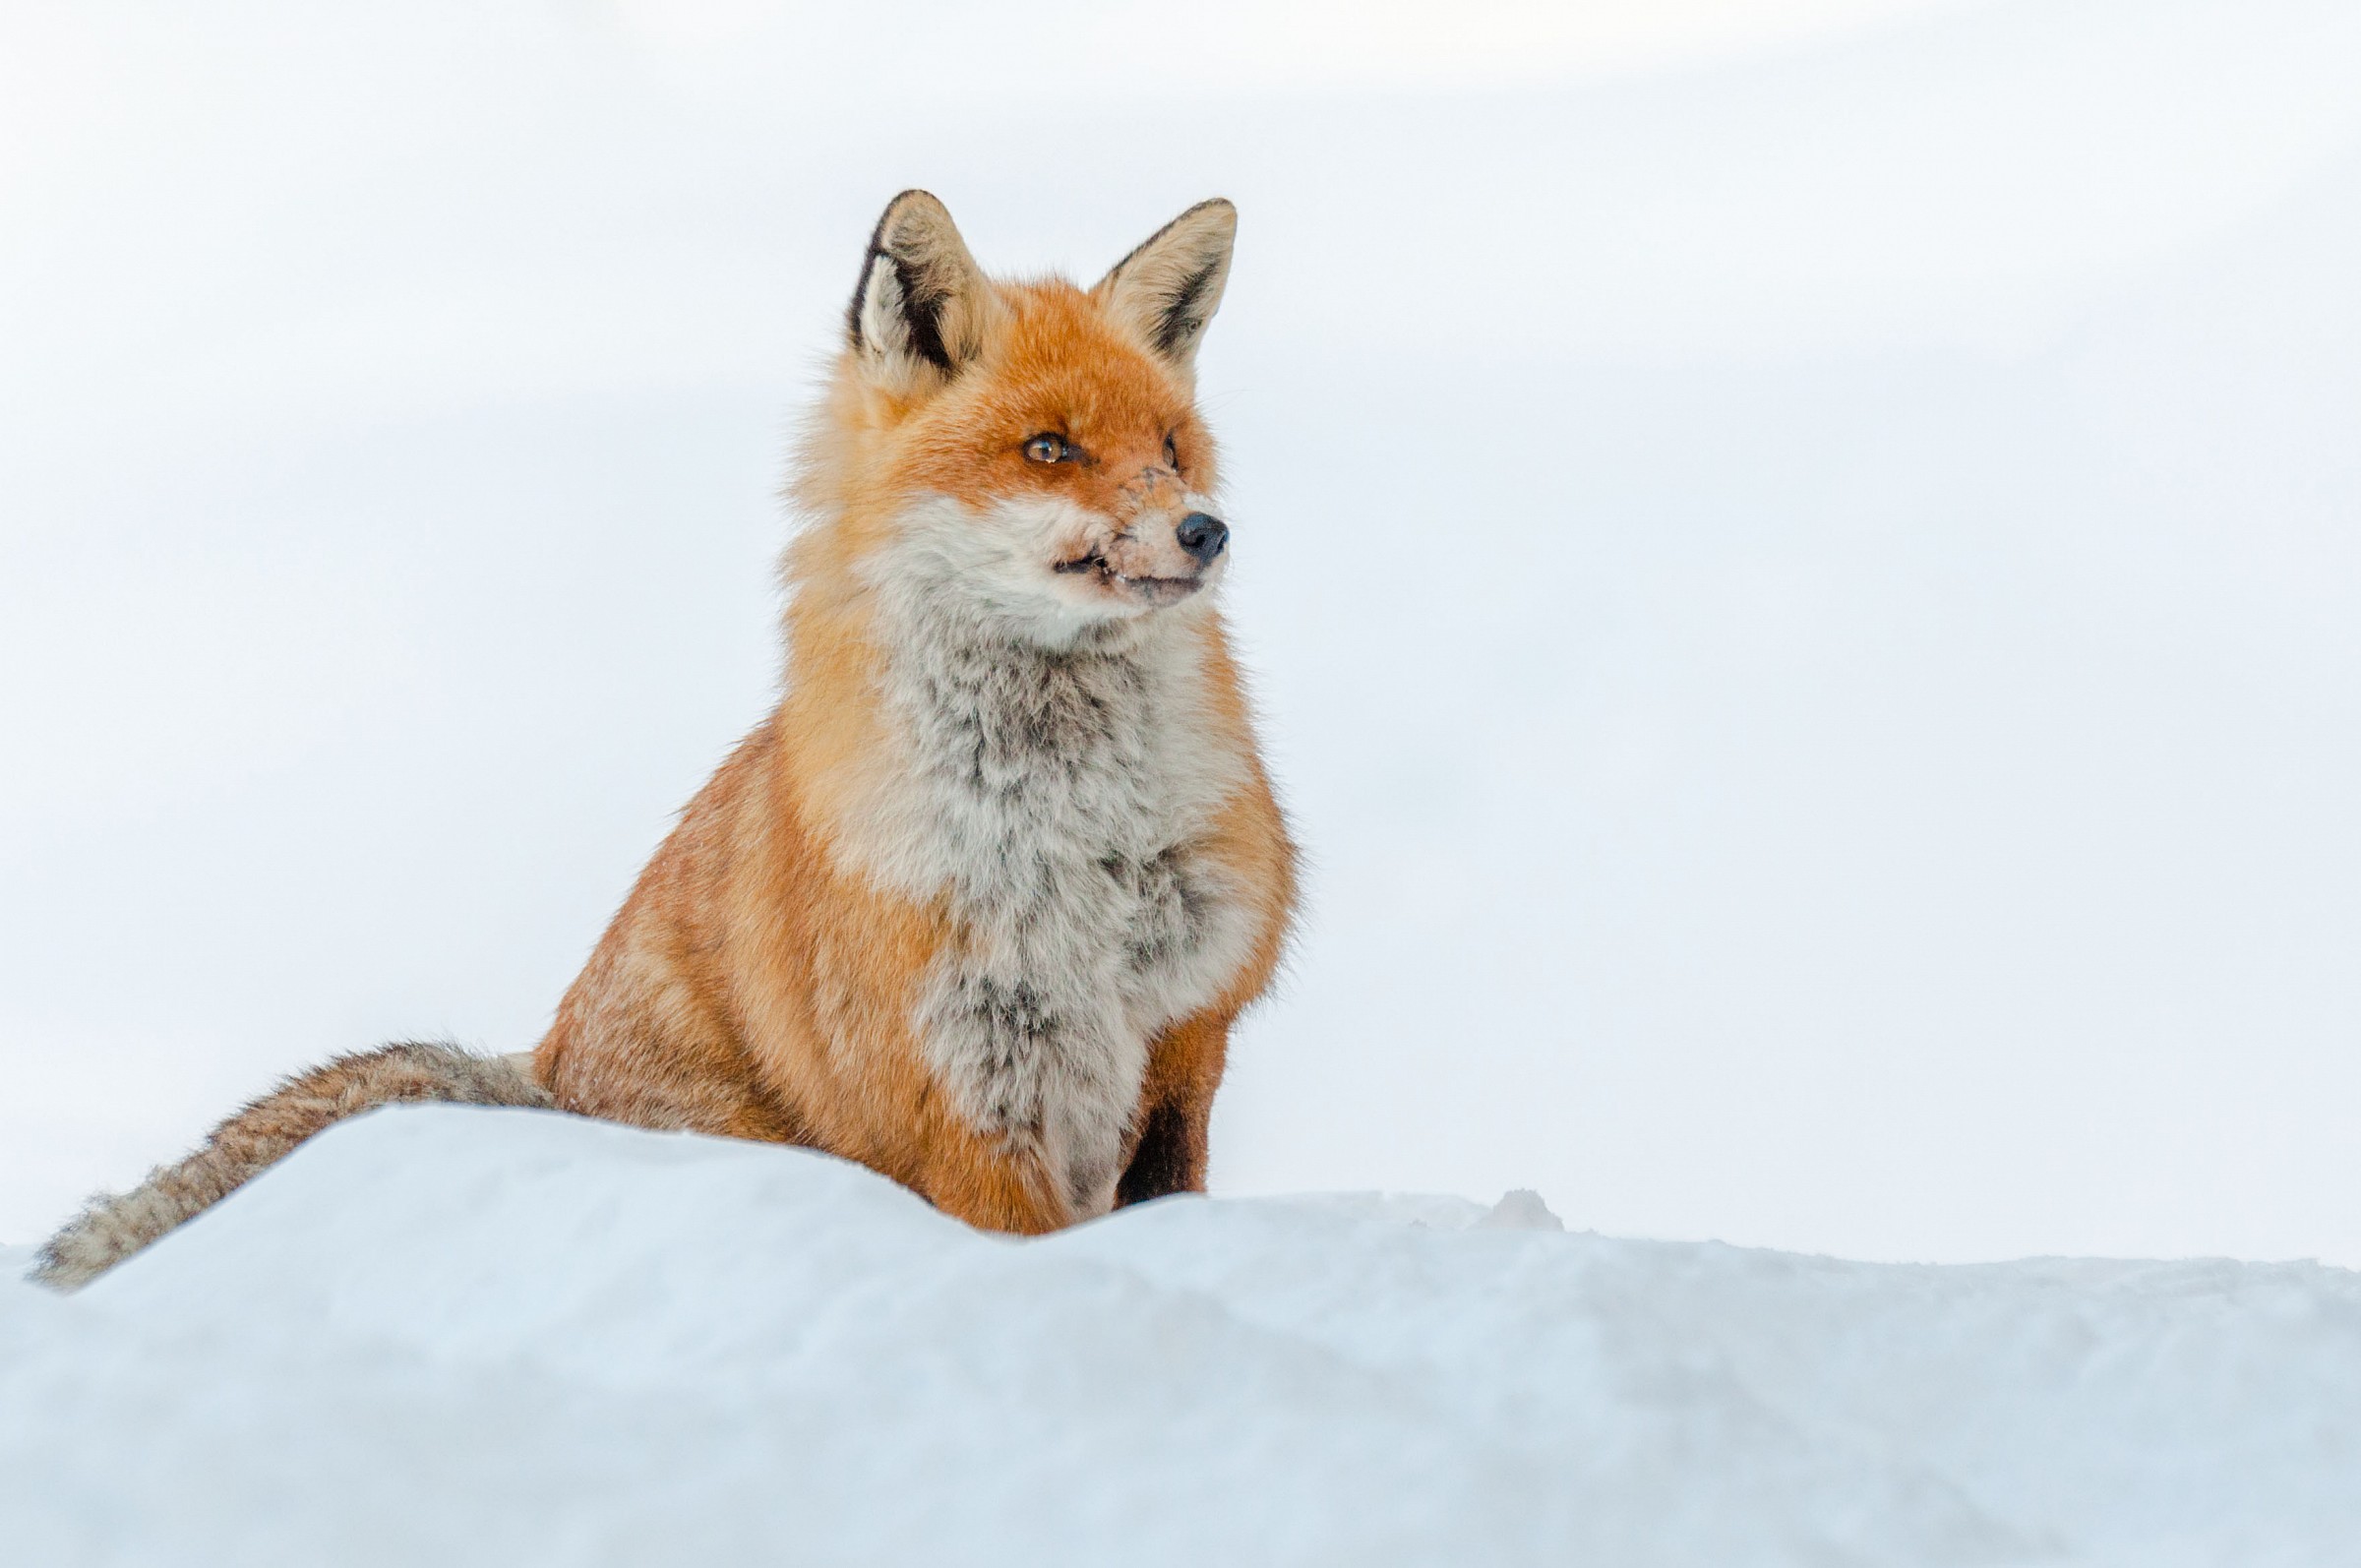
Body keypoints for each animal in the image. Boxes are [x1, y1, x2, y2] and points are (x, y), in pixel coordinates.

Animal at [33, 191, 1297, 1289]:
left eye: (1170, 448)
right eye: (1048, 449)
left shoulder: (1184, 1037)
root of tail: (545, 1074)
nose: (1206, 530)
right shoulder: (963, 1088)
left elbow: (1169, 1195)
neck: (1075, 843)